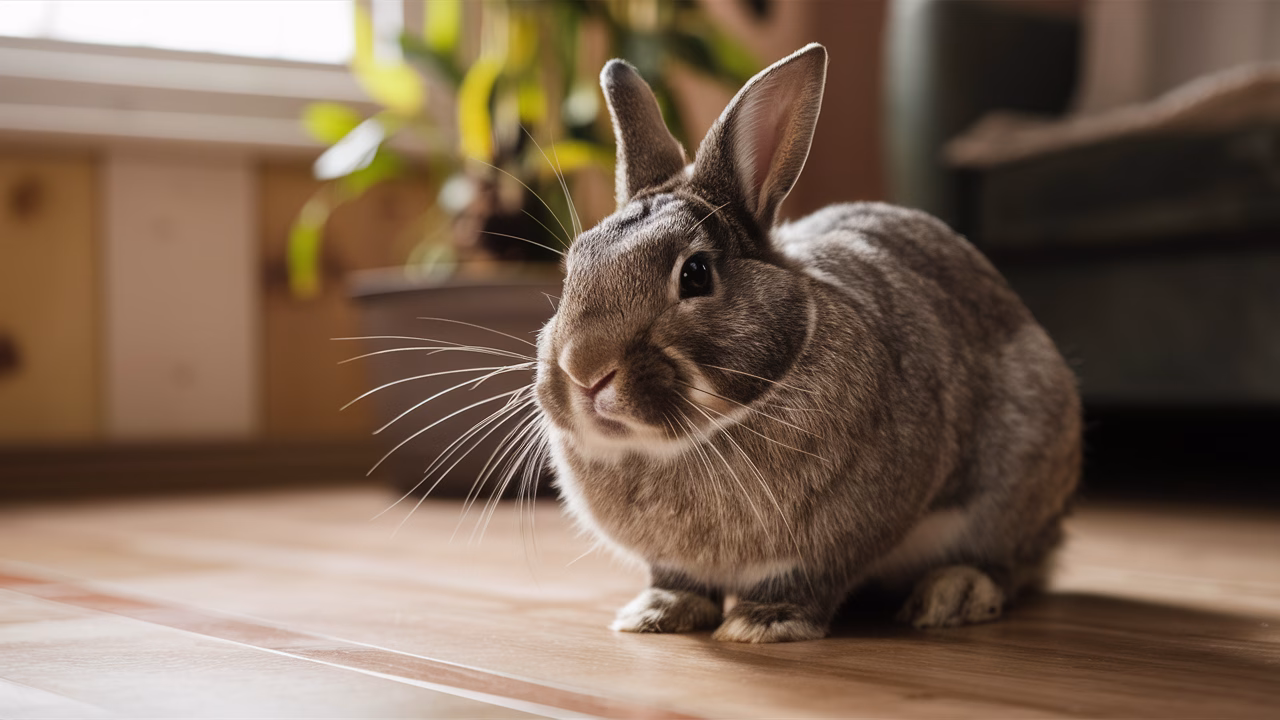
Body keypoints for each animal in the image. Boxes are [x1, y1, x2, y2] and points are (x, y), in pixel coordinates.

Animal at [533, 43, 1081, 643]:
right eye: (574, 265)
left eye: (695, 275)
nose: (585, 371)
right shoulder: (673, 559)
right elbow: (677, 579)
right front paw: (657, 612)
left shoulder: (836, 542)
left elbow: (805, 580)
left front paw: (761, 623)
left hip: (1018, 476)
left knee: (1010, 562)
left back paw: (954, 593)